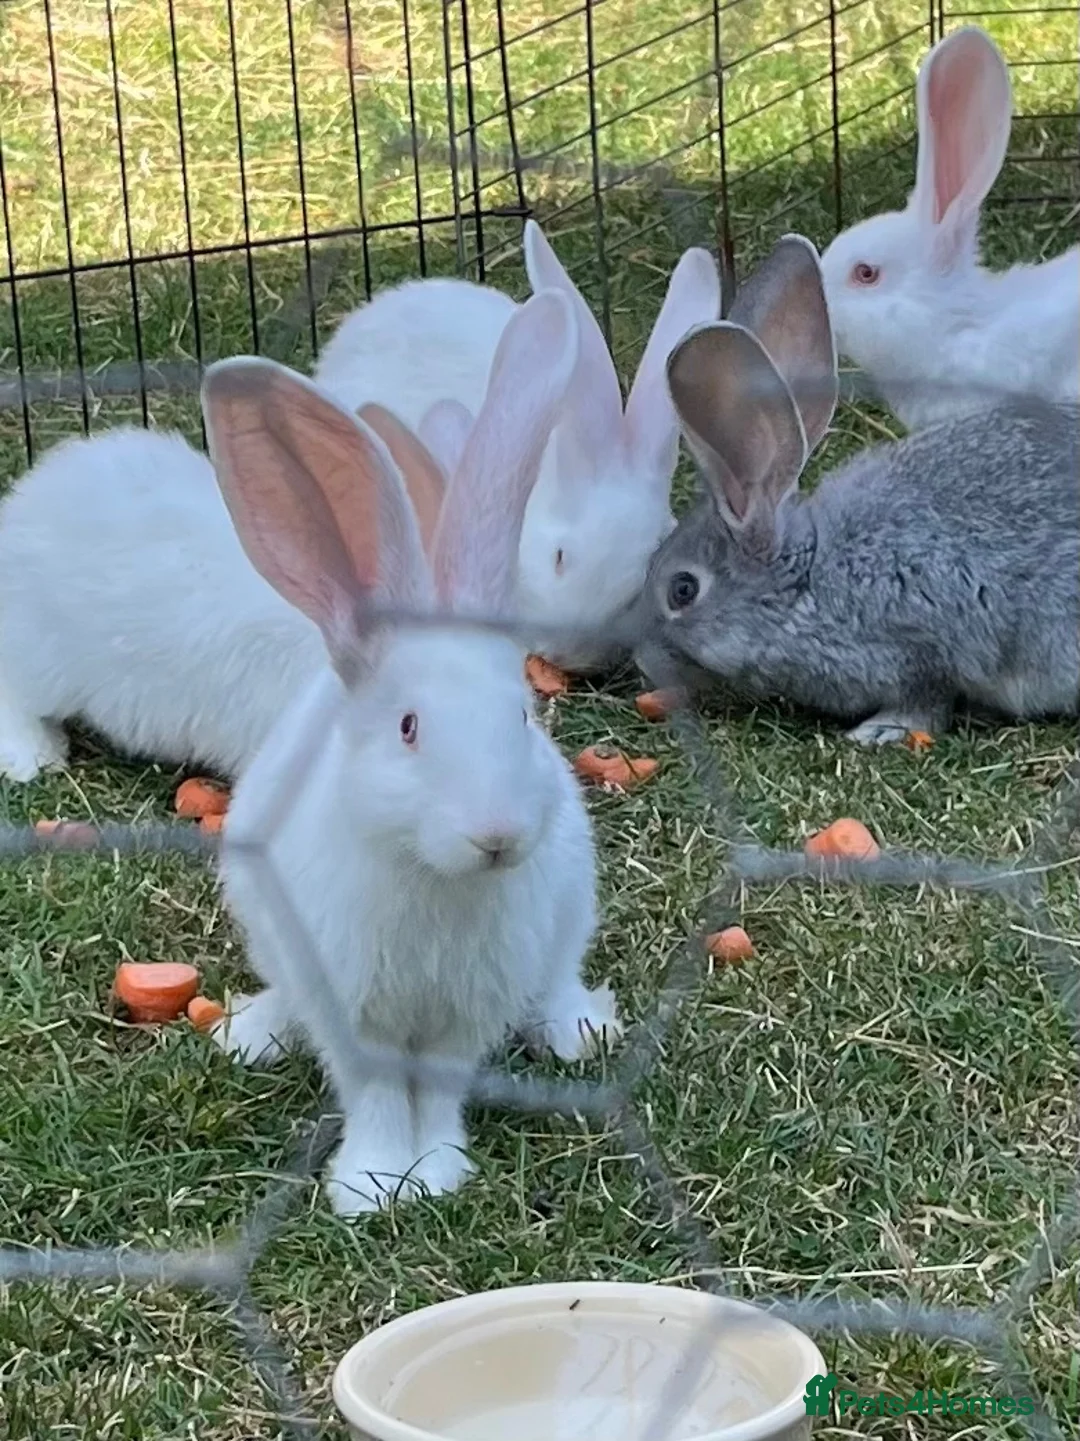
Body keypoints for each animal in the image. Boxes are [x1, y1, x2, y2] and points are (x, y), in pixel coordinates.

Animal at [200, 298, 622, 1216]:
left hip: (568, 919)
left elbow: (442, 1085)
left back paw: (578, 1030)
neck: (434, 877)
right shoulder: (353, 1012)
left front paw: (436, 1170)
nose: (497, 835)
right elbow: (378, 1094)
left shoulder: (468, 1011)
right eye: (407, 727)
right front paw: (373, 1184)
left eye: (523, 715)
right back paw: (253, 1033)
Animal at [632, 233, 1080, 744]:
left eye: (683, 590)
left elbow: (927, 699)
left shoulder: (916, 644)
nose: (641, 660)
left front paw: (881, 730)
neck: (805, 578)